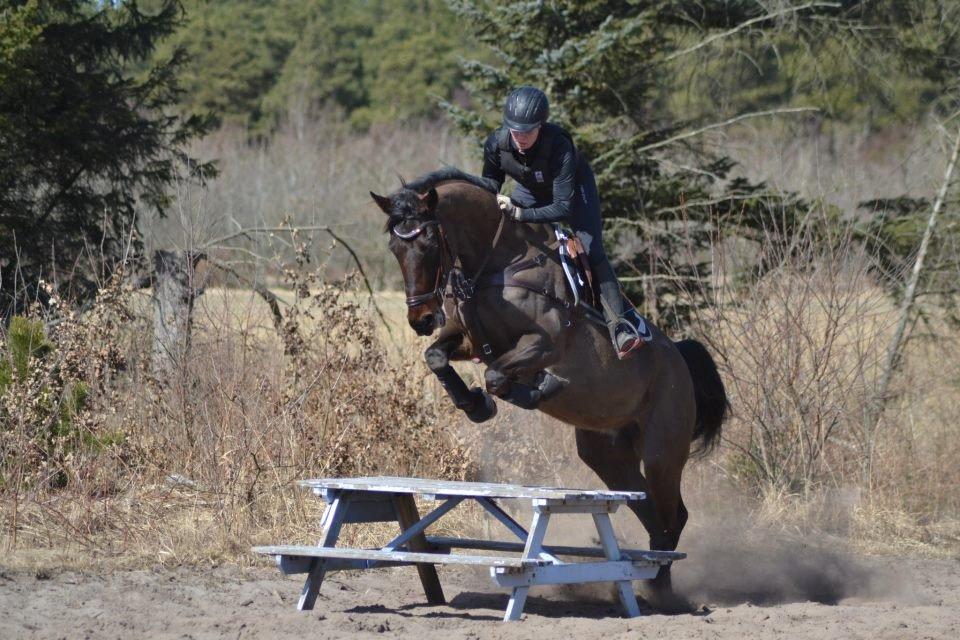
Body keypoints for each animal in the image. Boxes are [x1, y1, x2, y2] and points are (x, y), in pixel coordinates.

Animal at [370, 168, 728, 604]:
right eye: (394, 246)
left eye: (428, 241)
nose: (420, 319)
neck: (500, 262)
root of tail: (679, 357)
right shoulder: (470, 339)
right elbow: (437, 357)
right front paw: (475, 404)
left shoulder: (543, 343)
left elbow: (497, 376)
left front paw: (539, 387)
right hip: (607, 454)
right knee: (651, 514)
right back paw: (647, 579)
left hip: (663, 449)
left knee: (673, 514)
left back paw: (660, 590)